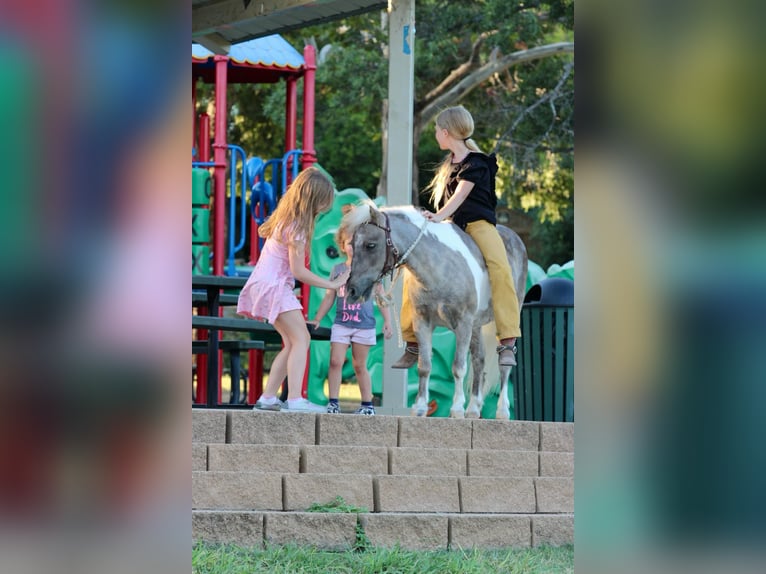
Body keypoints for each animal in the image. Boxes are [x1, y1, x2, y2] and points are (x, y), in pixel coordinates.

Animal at [342, 202, 528, 418]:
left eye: (370, 245)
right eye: (352, 244)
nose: (352, 290)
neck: (439, 268)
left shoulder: (463, 323)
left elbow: (458, 367)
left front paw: (456, 409)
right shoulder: (422, 322)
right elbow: (424, 366)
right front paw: (420, 407)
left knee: (503, 364)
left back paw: (502, 411)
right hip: (477, 326)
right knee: (479, 360)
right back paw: (473, 409)